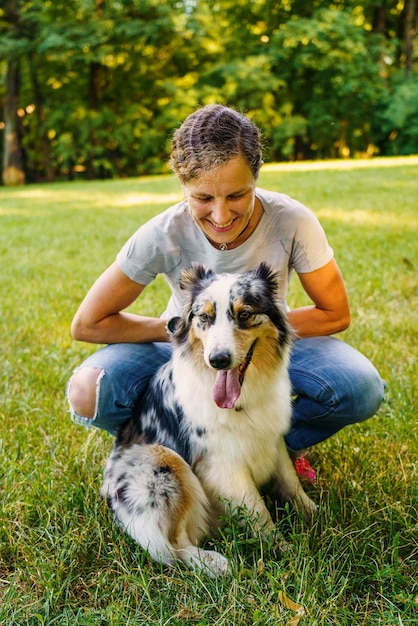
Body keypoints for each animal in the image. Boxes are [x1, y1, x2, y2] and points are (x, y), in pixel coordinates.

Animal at [101, 262, 316, 576]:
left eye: (244, 314)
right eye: (205, 317)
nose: (218, 360)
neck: (243, 397)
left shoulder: (272, 437)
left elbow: (292, 483)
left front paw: (317, 514)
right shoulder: (223, 465)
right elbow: (258, 511)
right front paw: (284, 551)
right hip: (162, 461)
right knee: (174, 548)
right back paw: (213, 562)